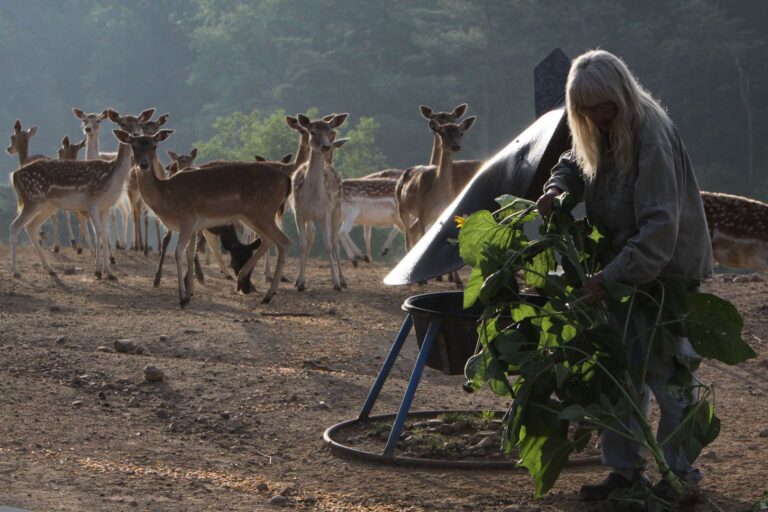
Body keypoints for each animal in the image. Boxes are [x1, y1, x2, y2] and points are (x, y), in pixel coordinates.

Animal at [9, 130, 136, 280]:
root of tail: (14, 175)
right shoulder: (91, 204)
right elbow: (96, 231)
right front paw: (98, 270)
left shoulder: (103, 207)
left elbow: (104, 232)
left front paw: (108, 271)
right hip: (32, 200)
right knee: (15, 226)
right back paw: (16, 271)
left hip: (46, 206)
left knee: (31, 227)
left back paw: (50, 269)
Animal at [115, 129, 292, 307]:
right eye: (133, 146)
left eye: (154, 146)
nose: (144, 164)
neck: (165, 198)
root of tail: (286, 179)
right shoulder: (194, 226)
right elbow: (190, 252)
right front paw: (189, 293)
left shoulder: (188, 219)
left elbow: (179, 252)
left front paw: (182, 297)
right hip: (252, 216)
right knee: (268, 240)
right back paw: (248, 282)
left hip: (262, 212)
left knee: (284, 241)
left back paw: (268, 294)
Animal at [291, 113, 349, 291]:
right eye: (312, 131)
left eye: (330, 131)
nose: (326, 146)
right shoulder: (299, 213)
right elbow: (302, 245)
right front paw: (300, 283)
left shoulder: (325, 213)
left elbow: (328, 245)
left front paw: (335, 283)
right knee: (312, 238)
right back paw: (297, 280)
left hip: (337, 210)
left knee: (335, 241)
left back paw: (343, 280)